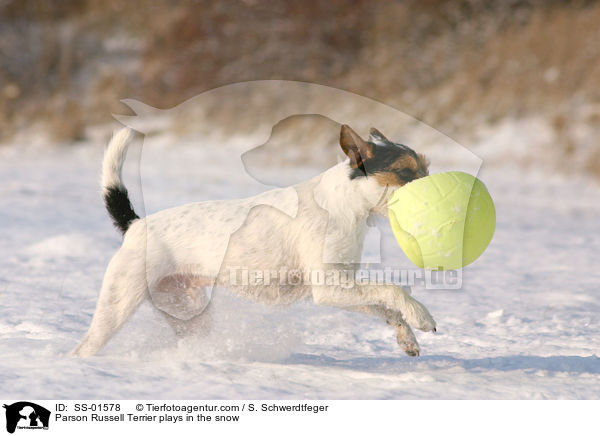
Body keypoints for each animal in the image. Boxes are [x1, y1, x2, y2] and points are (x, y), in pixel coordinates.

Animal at [74, 124, 436, 356]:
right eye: (405, 172)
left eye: (425, 168)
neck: (345, 203)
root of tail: (136, 225)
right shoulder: (329, 285)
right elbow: (393, 290)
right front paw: (422, 316)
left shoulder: (342, 286)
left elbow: (386, 307)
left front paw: (407, 337)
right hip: (117, 306)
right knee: (84, 347)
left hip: (187, 312)